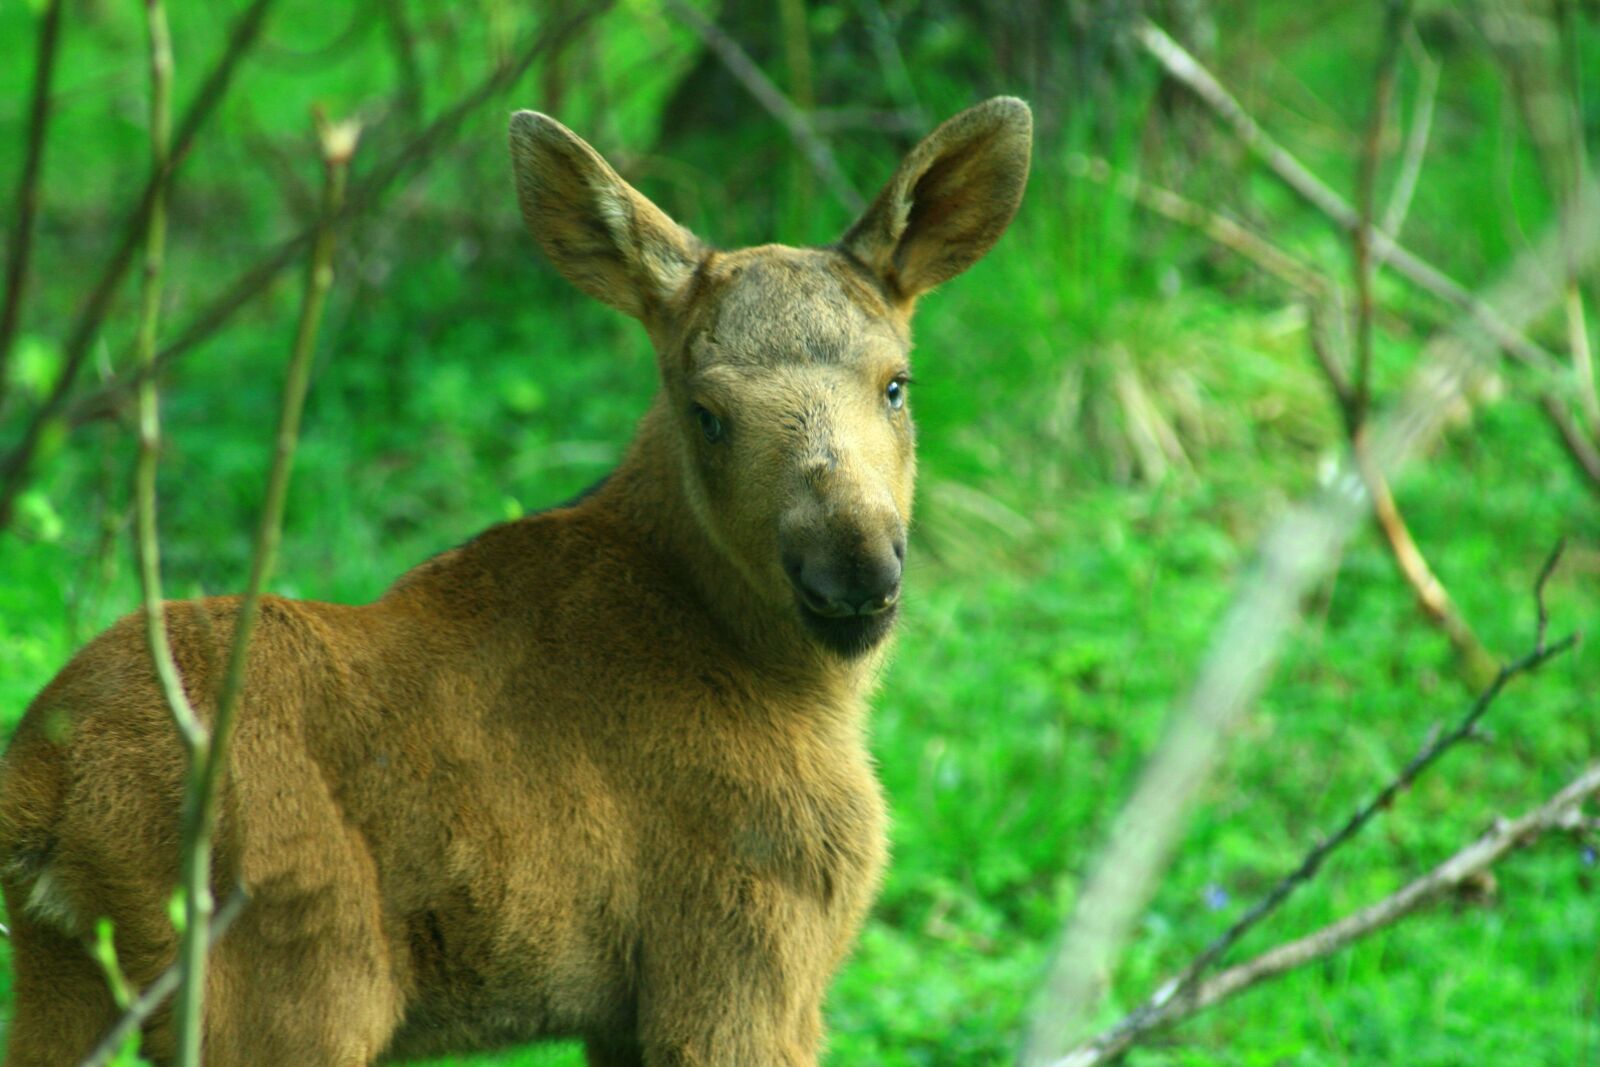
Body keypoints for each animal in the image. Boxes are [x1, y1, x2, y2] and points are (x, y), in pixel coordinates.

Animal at [0, 96, 1031, 1066]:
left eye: (896, 382)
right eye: (707, 412)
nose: (852, 566)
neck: (792, 681)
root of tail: (43, 778)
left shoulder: (628, 1011)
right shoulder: (741, 943)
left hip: (62, 985)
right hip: (286, 985)